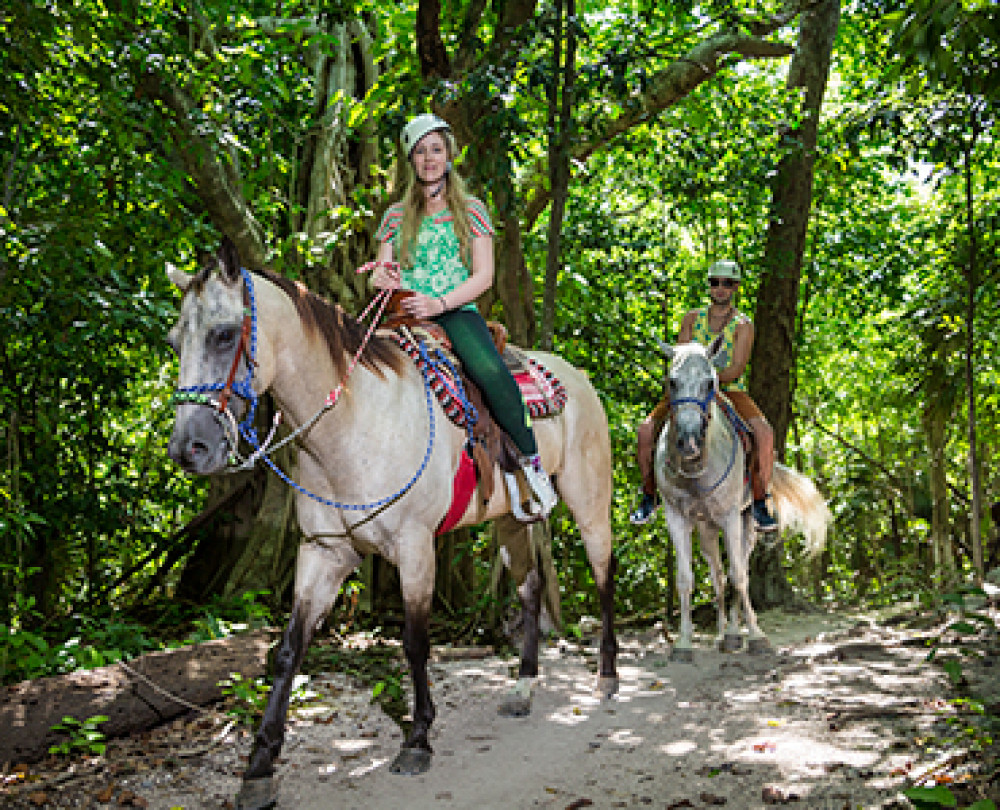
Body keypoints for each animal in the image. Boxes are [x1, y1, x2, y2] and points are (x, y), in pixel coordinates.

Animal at [166, 240, 616, 808]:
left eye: (225, 334)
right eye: (174, 340)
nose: (188, 448)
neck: (352, 424)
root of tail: (575, 377)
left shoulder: (415, 548)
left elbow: (415, 642)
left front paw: (418, 738)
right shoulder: (323, 551)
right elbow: (288, 650)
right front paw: (260, 766)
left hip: (589, 497)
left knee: (603, 572)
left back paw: (607, 676)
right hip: (512, 520)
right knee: (531, 587)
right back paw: (522, 688)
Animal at [656, 340, 828, 664]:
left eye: (710, 383)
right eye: (672, 382)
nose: (689, 442)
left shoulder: (730, 517)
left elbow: (739, 576)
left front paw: (757, 637)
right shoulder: (677, 518)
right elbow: (686, 579)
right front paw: (683, 644)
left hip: (745, 523)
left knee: (741, 571)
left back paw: (738, 634)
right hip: (707, 530)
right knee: (718, 576)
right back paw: (724, 634)